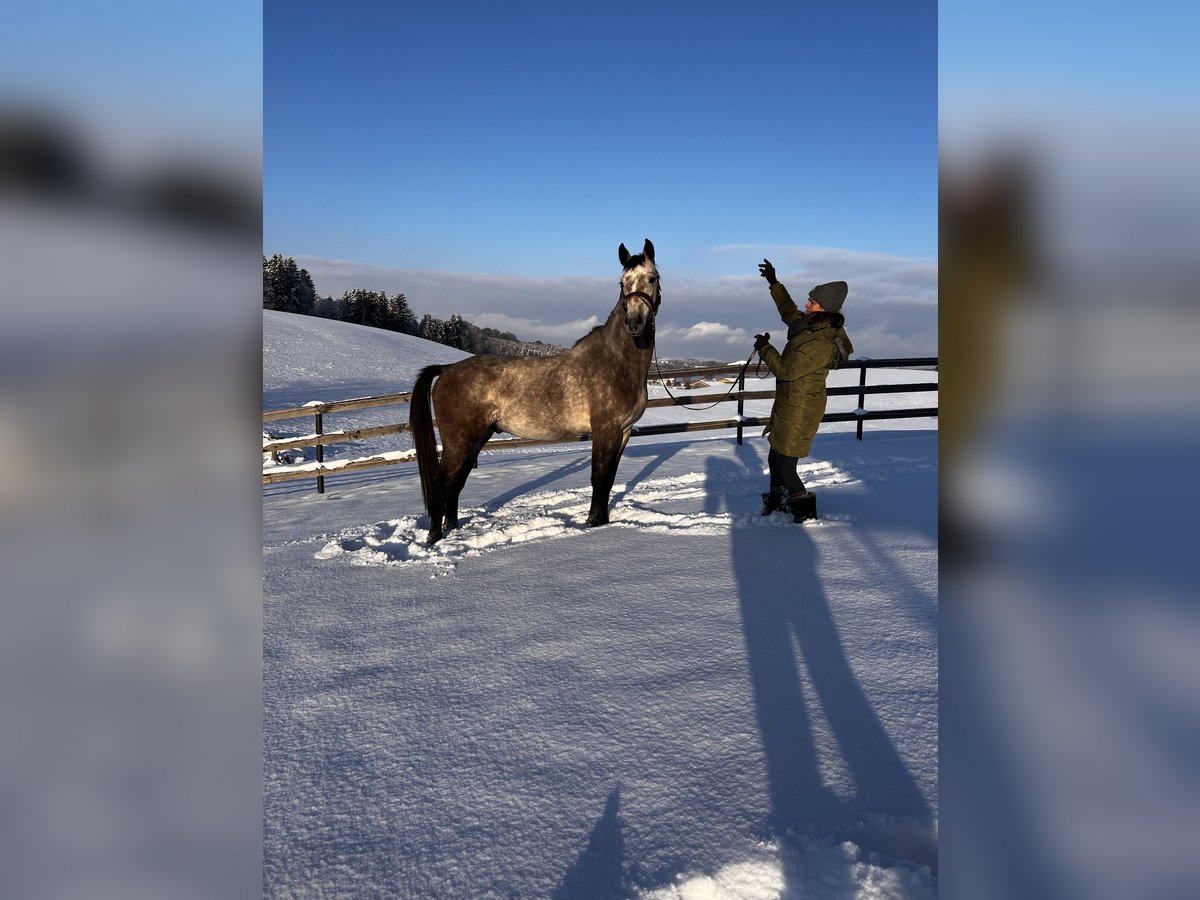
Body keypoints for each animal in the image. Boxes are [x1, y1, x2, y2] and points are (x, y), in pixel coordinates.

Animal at [408, 240, 662, 547]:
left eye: (652, 278)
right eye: (622, 283)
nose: (634, 323)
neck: (615, 362)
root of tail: (446, 370)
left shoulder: (622, 432)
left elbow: (609, 479)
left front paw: (601, 521)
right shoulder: (605, 431)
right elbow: (598, 478)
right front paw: (593, 523)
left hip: (475, 440)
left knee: (455, 485)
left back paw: (454, 530)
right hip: (459, 441)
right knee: (442, 484)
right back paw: (434, 538)